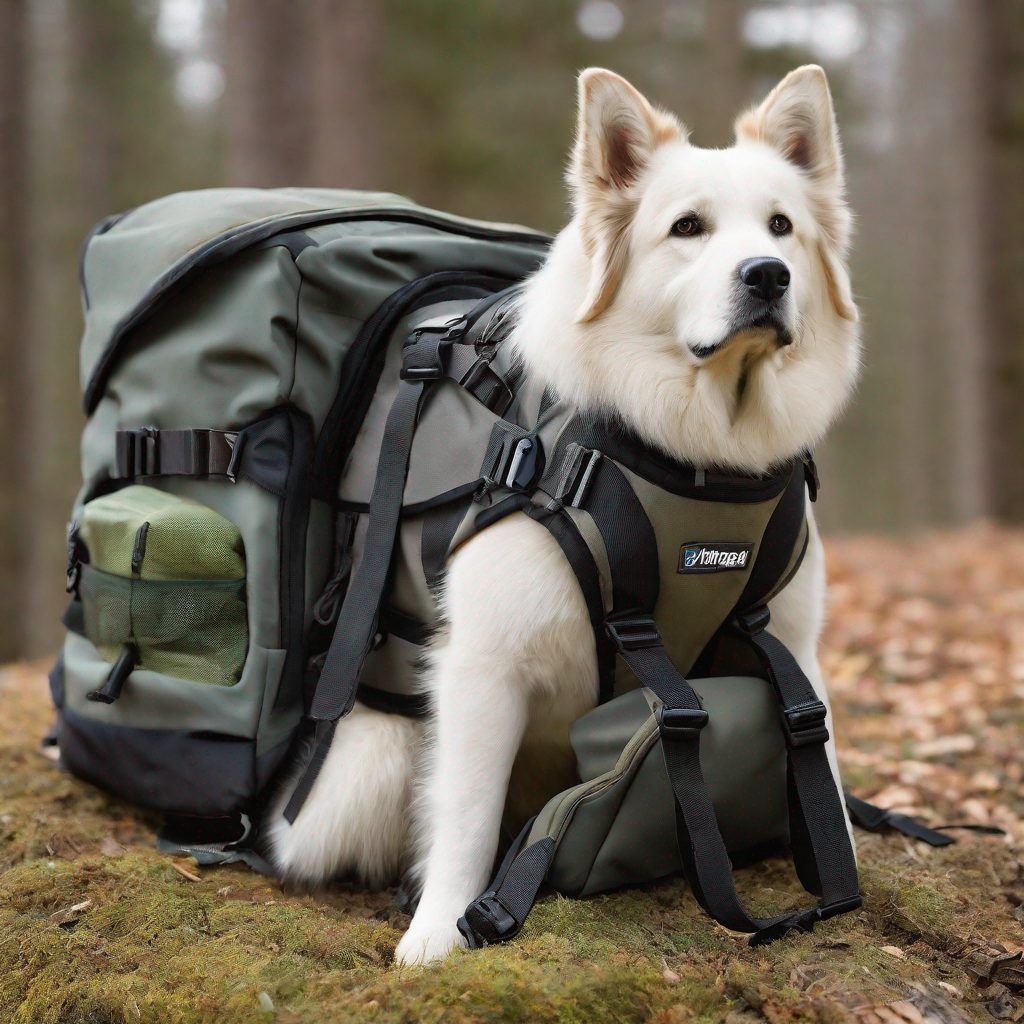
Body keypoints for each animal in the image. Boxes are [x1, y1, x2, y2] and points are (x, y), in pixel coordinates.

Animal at [268, 66, 860, 966]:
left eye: (782, 227)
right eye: (687, 227)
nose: (768, 276)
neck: (689, 454)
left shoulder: (791, 645)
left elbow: (819, 770)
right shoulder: (485, 667)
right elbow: (467, 818)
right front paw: (438, 934)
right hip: (363, 770)